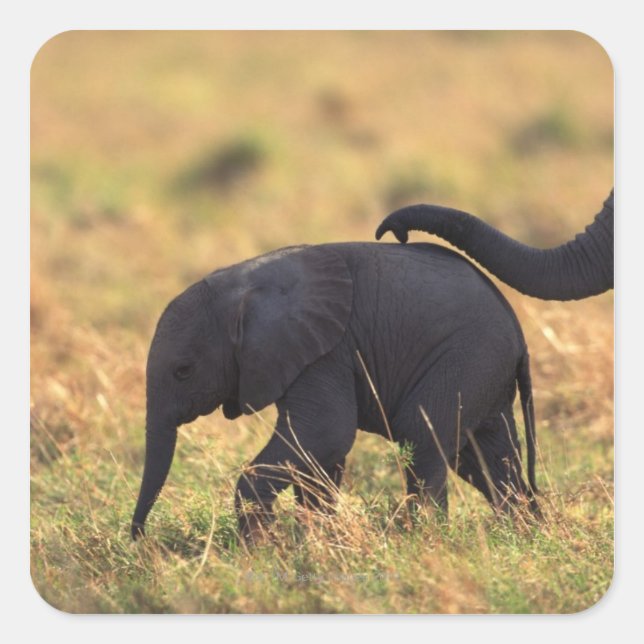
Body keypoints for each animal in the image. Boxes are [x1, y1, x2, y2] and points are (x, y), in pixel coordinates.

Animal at [131, 242, 539, 543]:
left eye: (183, 371)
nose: (139, 538)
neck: (244, 289)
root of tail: (518, 333)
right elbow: (319, 454)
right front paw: (315, 542)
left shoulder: (326, 351)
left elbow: (325, 434)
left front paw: (261, 548)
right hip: (484, 371)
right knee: (487, 456)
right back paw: (523, 534)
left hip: (469, 356)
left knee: (423, 438)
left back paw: (425, 539)